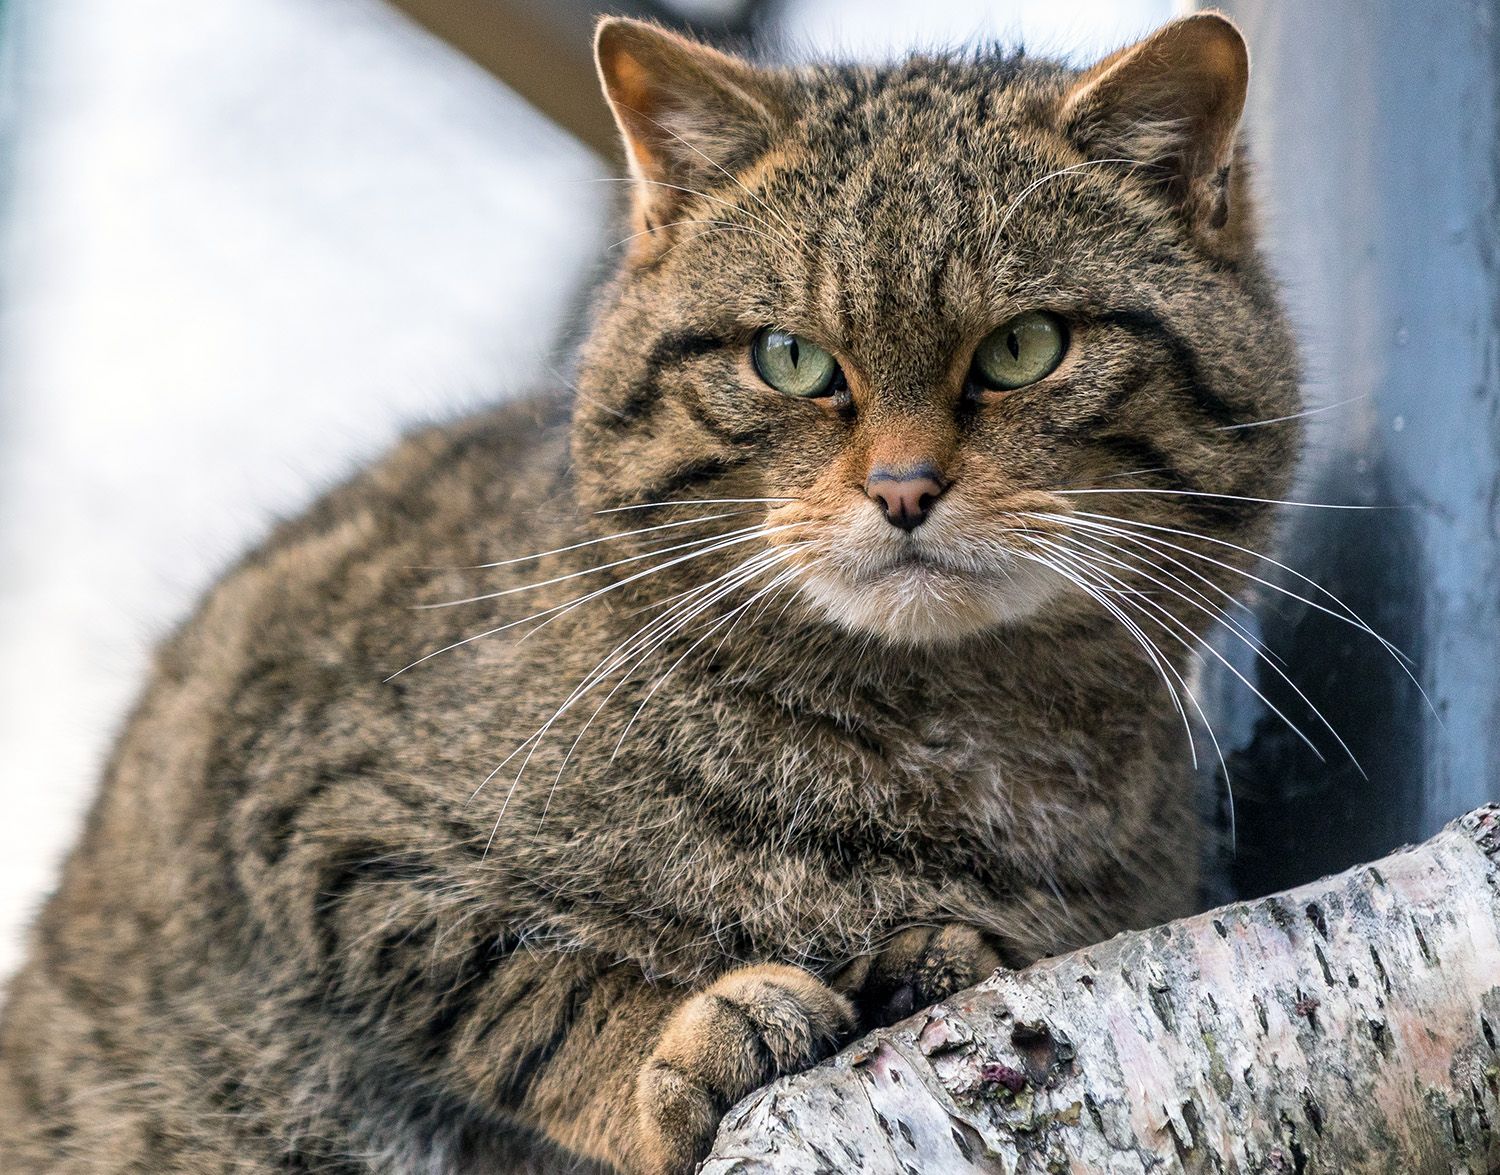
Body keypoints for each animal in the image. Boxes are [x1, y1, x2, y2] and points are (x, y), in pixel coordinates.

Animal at [0, 11, 1302, 1175]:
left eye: (1026, 346)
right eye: (790, 358)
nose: (902, 488)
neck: (944, 755)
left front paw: (925, 957)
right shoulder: (318, 813)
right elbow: (530, 990)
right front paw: (682, 1040)